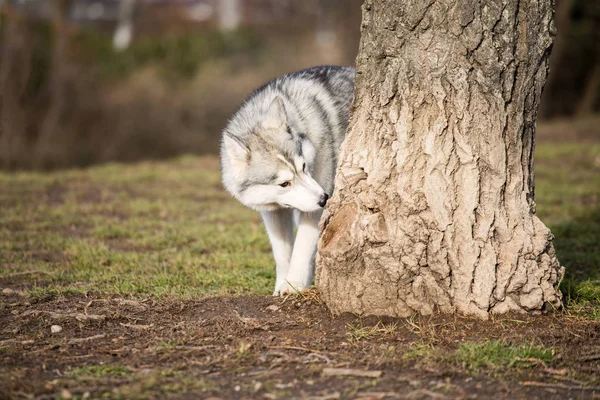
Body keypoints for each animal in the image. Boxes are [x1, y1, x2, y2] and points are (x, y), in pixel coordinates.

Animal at [220, 65, 354, 296]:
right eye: (284, 184)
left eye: (303, 167)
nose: (324, 199)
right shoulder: (273, 212)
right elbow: (283, 254)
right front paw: (282, 285)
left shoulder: (313, 212)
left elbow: (301, 249)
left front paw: (293, 286)